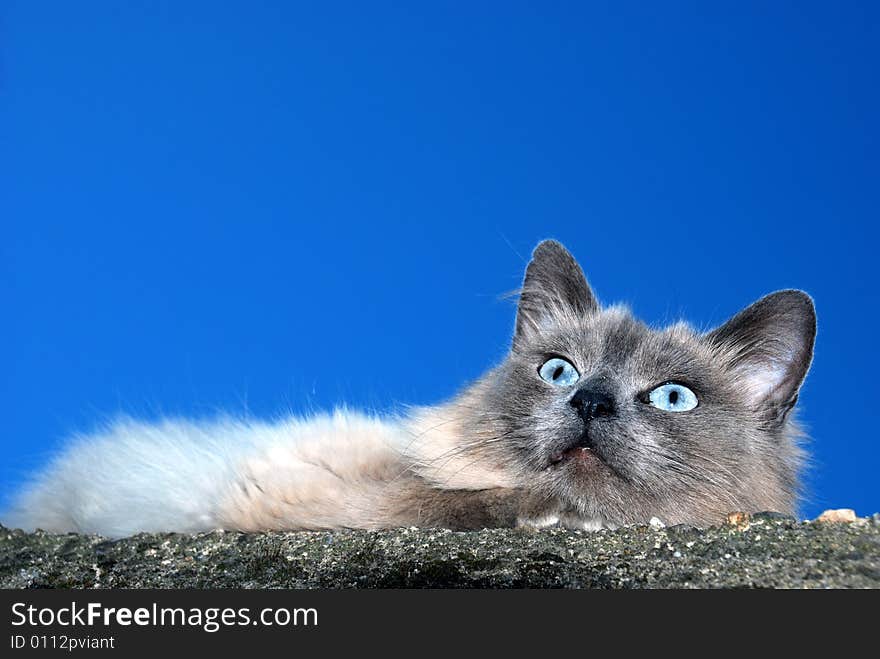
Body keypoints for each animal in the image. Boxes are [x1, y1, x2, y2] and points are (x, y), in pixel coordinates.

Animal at [3, 240, 816, 540]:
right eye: (560, 371)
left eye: (672, 397)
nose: (588, 402)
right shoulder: (305, 496)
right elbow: (458, 502)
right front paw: (554, 512)